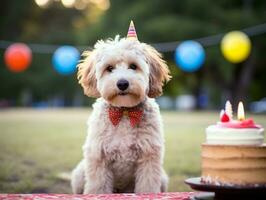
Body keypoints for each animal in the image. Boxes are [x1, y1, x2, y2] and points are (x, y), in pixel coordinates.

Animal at [70, 20, 170, 194]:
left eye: (133, 66)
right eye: (109, 68)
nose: (122, 83)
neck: (124, 112)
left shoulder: (149, 157)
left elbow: (147, 187)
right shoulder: (98, 157)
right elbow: (98, 188)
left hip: (162, 178)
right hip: (79, 175)